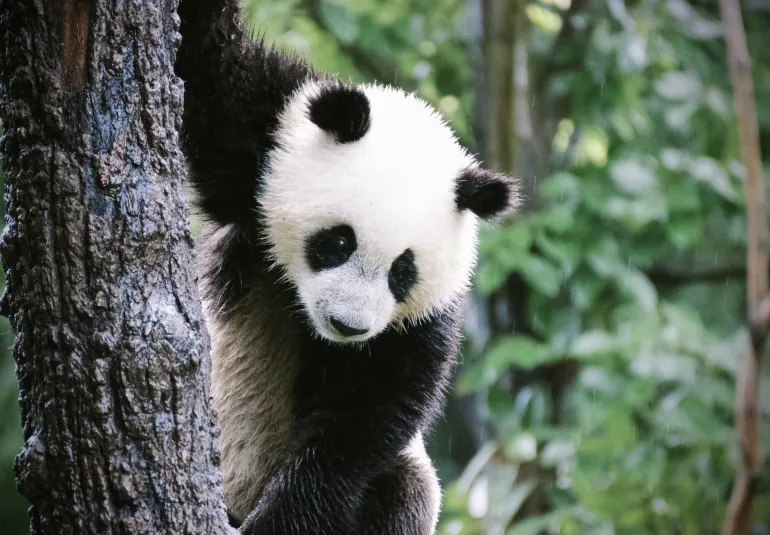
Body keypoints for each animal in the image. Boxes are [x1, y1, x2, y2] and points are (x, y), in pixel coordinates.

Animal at [176, 1, 519, 534]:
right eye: (338, 241)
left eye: (403, 272)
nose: (348, 325)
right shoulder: (262, 137)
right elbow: (207, 65)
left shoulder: (417, 324)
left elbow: (362, 419)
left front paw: (281, 520)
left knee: (404, 488)